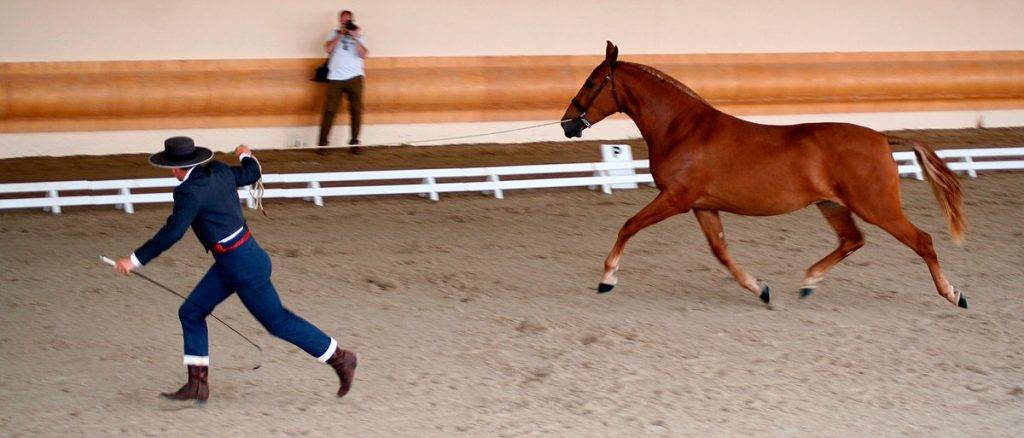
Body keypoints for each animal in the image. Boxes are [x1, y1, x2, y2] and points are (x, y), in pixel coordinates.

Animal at [561, 40, 966, 307]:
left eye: (591, 82)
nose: (567, 124)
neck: (683, 129)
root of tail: (882, 138)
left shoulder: (675, 199)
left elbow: (628, 226)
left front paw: (607, 278)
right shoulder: (703, 206)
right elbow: (721, 251)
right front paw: (760, 289)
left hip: (877, 206)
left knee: (922, 241)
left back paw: (954, 294)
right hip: (832, 205)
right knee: (852, 241)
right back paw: (809, 282)